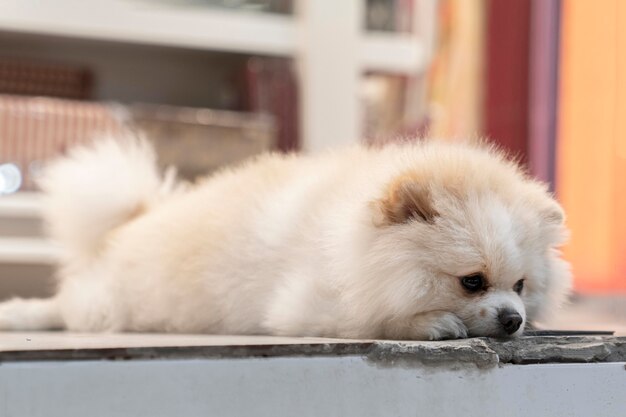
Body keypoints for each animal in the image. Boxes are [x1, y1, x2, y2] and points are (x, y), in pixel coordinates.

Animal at [0, 136, 568, 338]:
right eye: (472, 281)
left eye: (521, 286)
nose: (514, 320)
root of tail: (132, 220)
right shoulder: (305, 306)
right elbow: (373, 320)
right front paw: (430, 323)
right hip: (108, 304)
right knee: (65, 308)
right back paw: (22, 315)